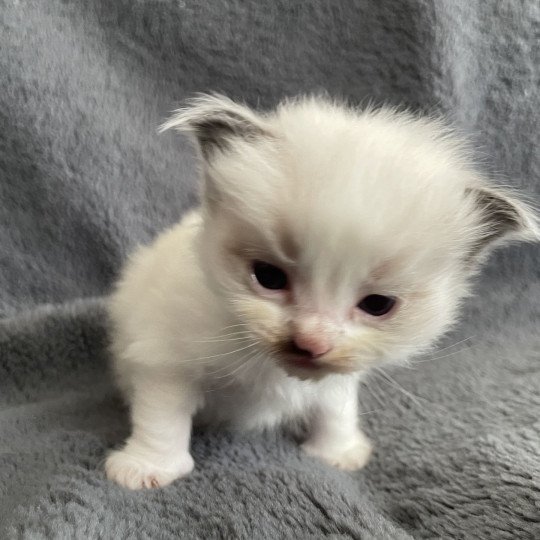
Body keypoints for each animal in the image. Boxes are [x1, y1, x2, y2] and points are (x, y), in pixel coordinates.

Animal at [103, 94, 536, 490]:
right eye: (268, 277)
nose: (311, 342)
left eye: (377, 305)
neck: (271, 370)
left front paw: (339, 453)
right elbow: (163, 416)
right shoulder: (163, 356)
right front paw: (147, 469)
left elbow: (336, 409)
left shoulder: (340, 375)